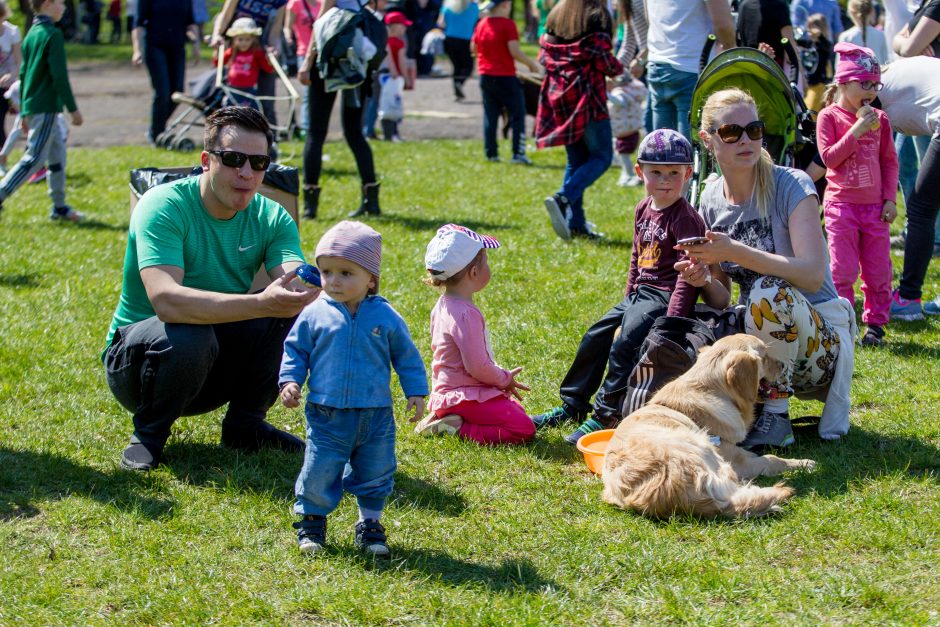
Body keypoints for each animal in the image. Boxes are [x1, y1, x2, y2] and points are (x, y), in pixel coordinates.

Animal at [604, 334, 816, 520]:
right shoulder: (737, 460)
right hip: (705, 448)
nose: (783, 365)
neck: (710, 389)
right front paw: (804, 463)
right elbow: (771, 459)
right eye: (763, 356)